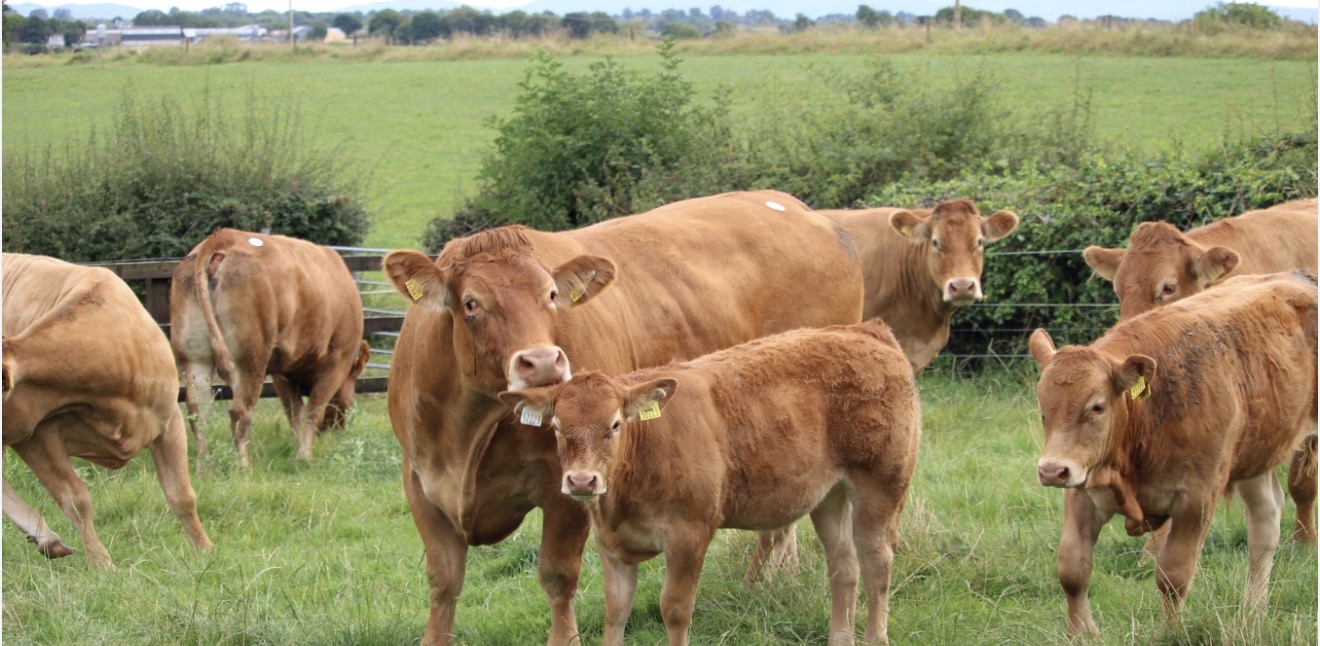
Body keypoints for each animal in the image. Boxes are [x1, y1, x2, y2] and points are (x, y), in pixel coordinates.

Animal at [2, 252, 213, 568]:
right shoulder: (34, 433)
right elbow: (75, 498)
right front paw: (102, 564)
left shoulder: (169, 421)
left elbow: (182, 496)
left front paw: (204, 551)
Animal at [171, 229, 370, 467]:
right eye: (350, 402)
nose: (338, 430)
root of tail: (223, 237)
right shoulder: (337, 361)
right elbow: (314, 410)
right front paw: (304, 456)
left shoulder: (282, 372)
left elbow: (294, 412)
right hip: (250, 359)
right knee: (240, 410)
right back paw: (243, 465)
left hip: (194, 359)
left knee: (198, 411)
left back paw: (203, 466)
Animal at [382, 190, 864, 645]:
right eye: (470, 303)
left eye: (551, 295)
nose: (543, 362)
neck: (468, 435)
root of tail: (800, 210)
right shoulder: (420, 482)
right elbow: (444, 584)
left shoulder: (567, 486)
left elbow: (558, 576)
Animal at [498, 320, 920, 646]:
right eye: (556, 426)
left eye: (614, 424)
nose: (582, 480)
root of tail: (866, 331)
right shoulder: (610, 544)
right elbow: (615, 613)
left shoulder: (689, 534)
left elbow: (674, 609)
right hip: (829, 495)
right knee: (844, 565)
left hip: (881, 486)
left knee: (877, 563)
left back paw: (875, 637)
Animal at [1028, 270, 1318, 635]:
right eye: (1043, 411)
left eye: (1096, 407)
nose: (1052, 470)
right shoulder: (1083, 492)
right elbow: (1072, 569)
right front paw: (1082, 634)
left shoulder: (1196, 499)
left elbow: (1173, 575)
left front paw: (1171, 632)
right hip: (1256, 457)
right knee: (1265, 526)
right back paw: (1251, 613)